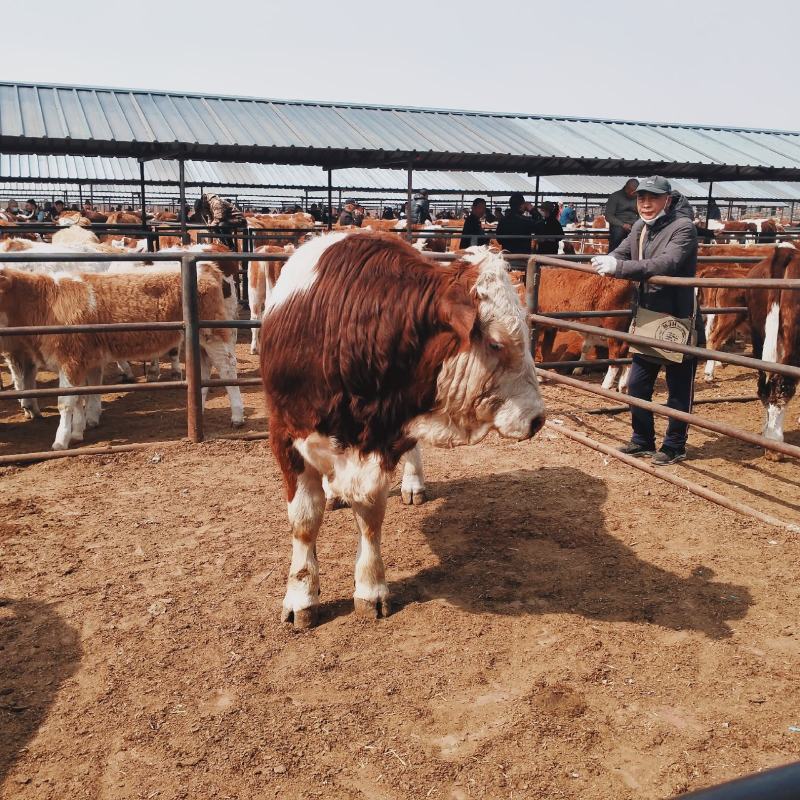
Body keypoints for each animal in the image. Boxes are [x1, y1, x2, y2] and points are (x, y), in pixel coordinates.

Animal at [260, 228, 548, 628]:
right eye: (495, 342)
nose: (538, 418)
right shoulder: (285, 436)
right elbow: (304, 520)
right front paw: (301, 596)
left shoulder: (383, 438)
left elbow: (369, 516)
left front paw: (371, 589)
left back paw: (412, 484)